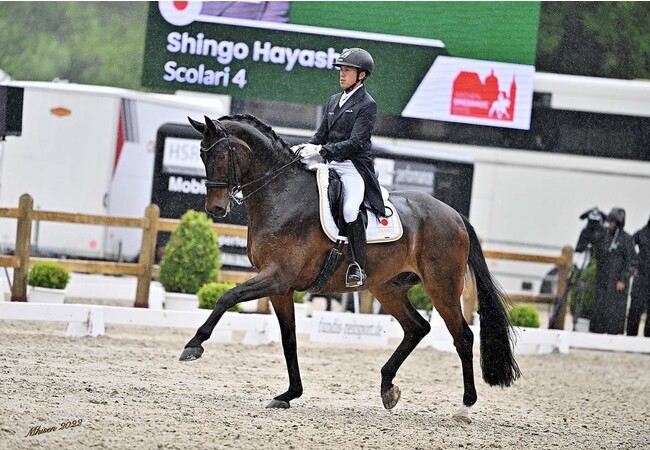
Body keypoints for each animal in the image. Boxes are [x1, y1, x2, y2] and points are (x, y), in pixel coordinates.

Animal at [181, 114, 520, 423]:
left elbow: (226, 297)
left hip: (442, 287)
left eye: (220, 155)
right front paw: (289, 394)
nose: (216, 208)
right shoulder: (281, 288)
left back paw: (464, 407)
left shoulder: (277, 277)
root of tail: (455, 215)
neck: (282, 195)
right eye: (201, 155)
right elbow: (289, 339)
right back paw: (387, 387)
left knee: (463, 337)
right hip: (388, 287)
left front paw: (193, 346)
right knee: (417, 328)